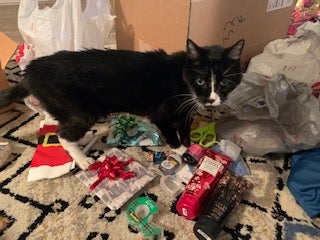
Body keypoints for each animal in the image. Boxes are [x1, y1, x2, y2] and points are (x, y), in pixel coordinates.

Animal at [0, 39, 245, 169]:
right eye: (200, 80)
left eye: (224, 83)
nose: (211, 99)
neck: (183, 81)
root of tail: (30, 72)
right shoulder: (162, 113)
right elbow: (171, 133)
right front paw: (183, 151)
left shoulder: (185, 113)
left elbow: (184, 128)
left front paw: (192, 145)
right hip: (80, 109)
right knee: (63, 134)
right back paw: (83, 159)